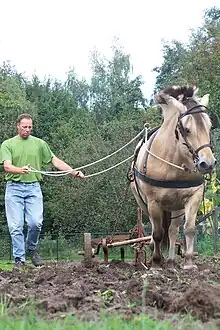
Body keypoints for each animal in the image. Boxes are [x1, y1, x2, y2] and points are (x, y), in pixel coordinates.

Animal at [131, 86, 217, 270]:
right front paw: (156, 263)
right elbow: (157, 233)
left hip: (176, 206)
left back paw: (170, 262)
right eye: (187, 129)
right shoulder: (153, 202)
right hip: (144, 203)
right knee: (156, 229)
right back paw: (156, 255)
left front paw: (189, 263)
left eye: (209, 126)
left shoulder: (194, 197)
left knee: (172, 229)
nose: (207, 163)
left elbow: (189, 229)